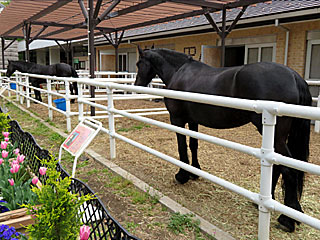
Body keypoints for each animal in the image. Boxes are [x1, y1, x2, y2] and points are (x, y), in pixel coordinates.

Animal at [134, 47, 312, 232]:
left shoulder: (177, 119)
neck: (179, 71)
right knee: (277, 166)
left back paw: (287, 219)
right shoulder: (193, 120)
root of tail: (294, 76)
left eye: (139, 63)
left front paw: (182, 175)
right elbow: (193, 144)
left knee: (289, 169)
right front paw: (195, 171)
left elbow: (182, 147)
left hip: (275, 136)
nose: (137, 84)